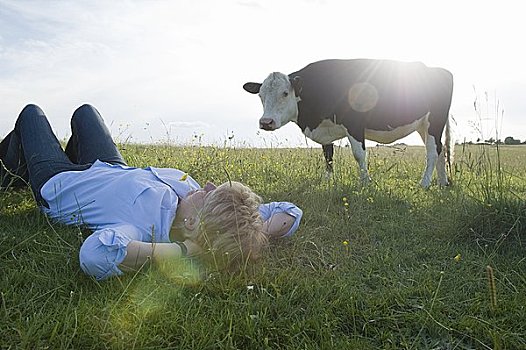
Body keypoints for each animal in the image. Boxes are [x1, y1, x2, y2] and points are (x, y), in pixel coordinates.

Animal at [243, 58, 454, 189]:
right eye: (261, 96)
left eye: (285, 93)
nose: (266, 122)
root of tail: (440, 70)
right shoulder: (325, 129)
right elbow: (328, 155)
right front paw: (327, 180)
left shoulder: (354, 124)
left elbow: (359, 154)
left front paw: (365, 182)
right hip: (424, 125)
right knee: (440, 149)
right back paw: (443, 183)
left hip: (434, 122)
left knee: (432, 151)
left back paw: (424, 183)